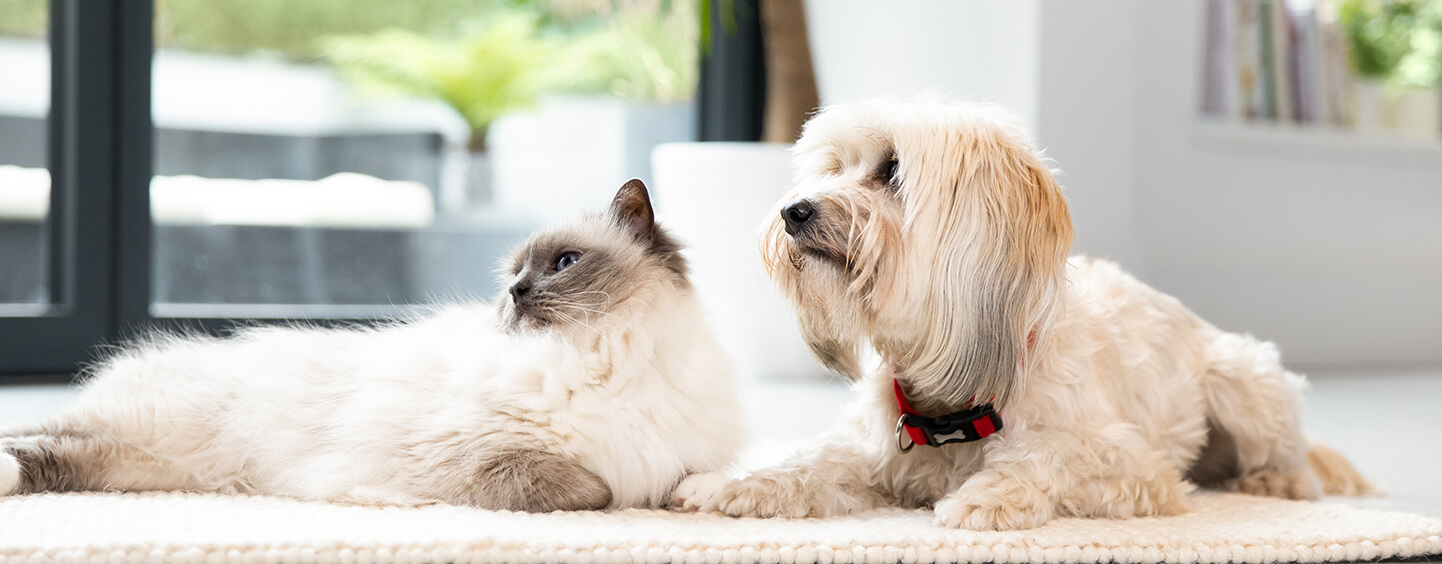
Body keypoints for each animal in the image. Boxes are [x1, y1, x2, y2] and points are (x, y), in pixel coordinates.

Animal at [0, 181, 744, 513]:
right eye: (512, 275)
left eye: (562, 263)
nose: (515, 295)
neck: (602, 357)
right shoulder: (480, 455)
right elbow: (592, 489)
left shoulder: (676, 457)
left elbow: (687, 483)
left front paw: (702, 499)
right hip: (151, 434)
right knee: (37, 435)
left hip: (139, 465)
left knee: (52, 455)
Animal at [674, 99, 1372, 533]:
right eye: (830, 167)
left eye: (892, 171)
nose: (793, 210)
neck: (954, 401)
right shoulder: (873, 450)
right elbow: (809, 463)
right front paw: (731, 486)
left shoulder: (1136, 469)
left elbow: (1052, 455)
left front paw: (990, 494)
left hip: (1241, 377)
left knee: (1294, 460)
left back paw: (1277, 482)